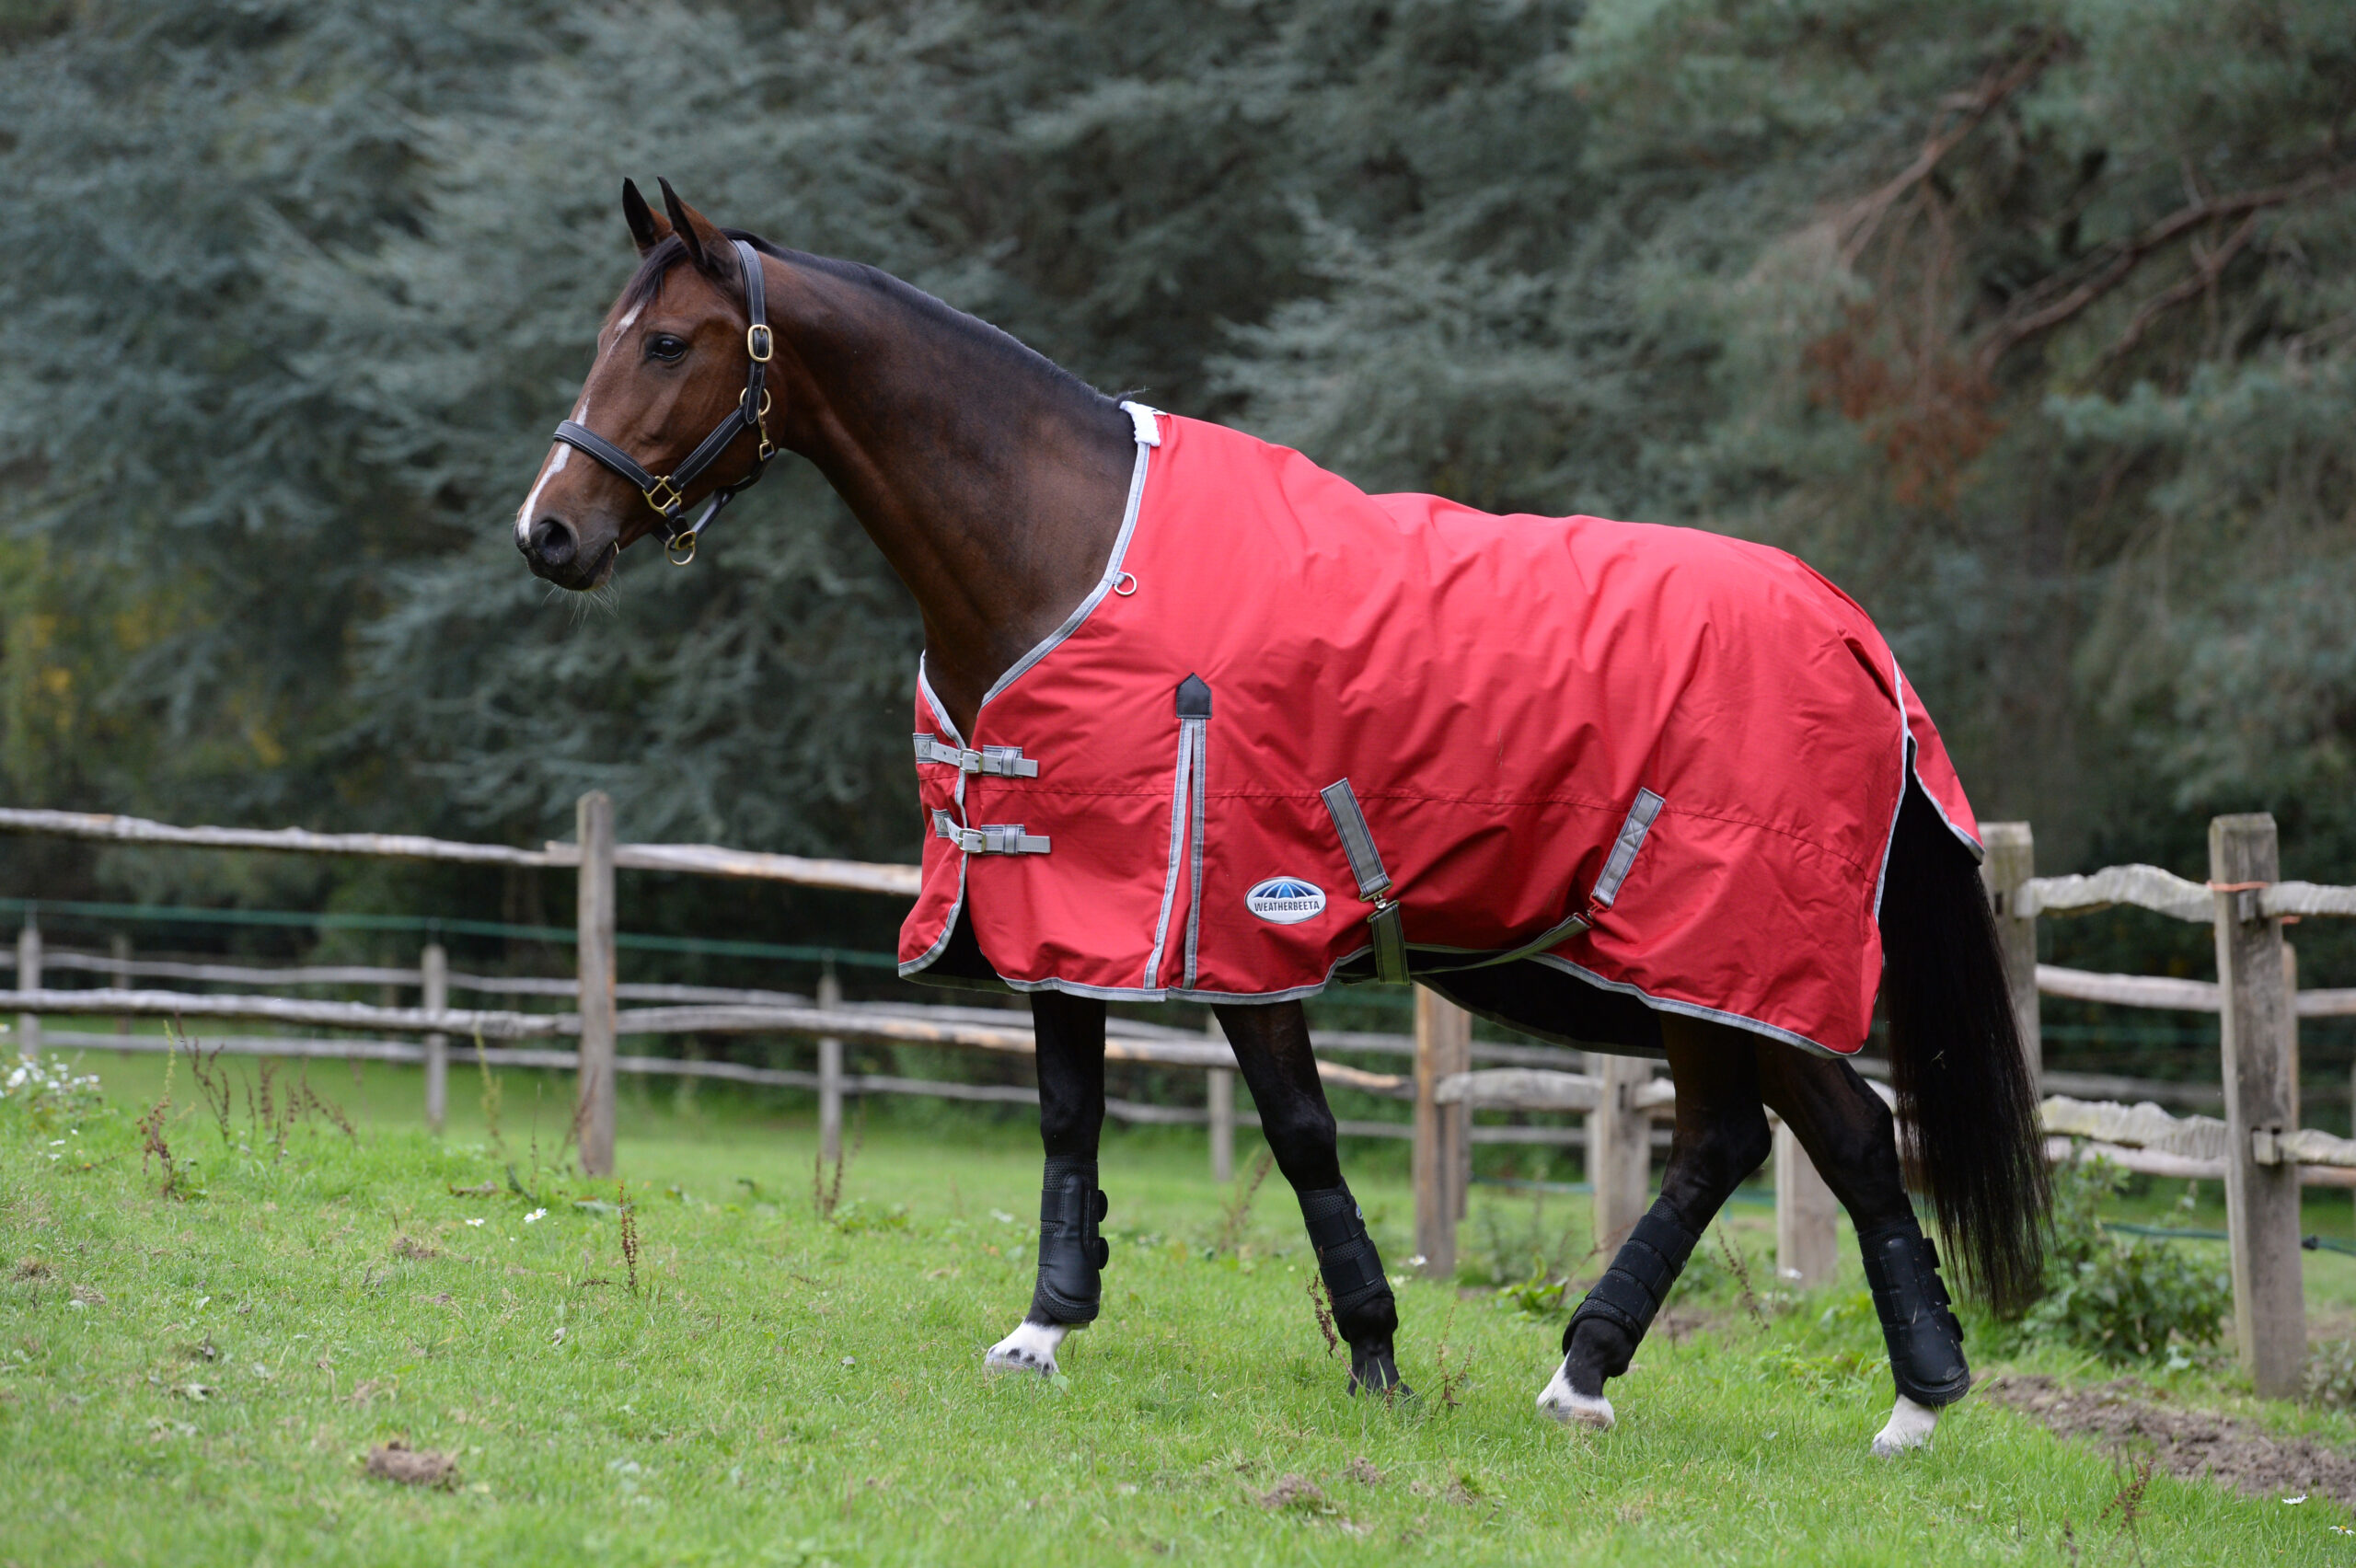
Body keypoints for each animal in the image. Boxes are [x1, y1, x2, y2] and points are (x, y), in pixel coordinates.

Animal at [514, 179, 2048, 1455]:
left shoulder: (1241, 920)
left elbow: (1301, 1129)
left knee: (1840, 1140)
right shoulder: (1063, 895)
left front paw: (1373, 1354)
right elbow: (1068, 1114)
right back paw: (1612, 1376)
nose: (551, 532)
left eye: (671, 345)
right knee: (1747, 1142)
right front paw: (1046, 1325)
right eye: (609, 334)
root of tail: (1860, 645)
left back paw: (1886, 1404)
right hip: (1695, 979)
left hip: (1734, 960)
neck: (1066, 549)